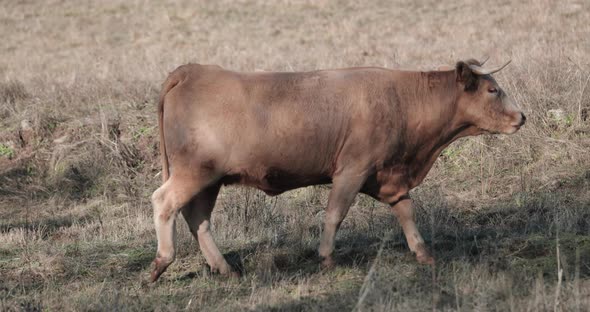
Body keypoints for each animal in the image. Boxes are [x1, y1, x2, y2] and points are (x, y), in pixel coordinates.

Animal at [149, 58, 528, 280]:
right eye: (493, 90)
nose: (521, 117)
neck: (403, 101)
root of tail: (193, 70)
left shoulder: (388, 176)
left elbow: (406, 210)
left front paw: (423, 253)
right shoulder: (352, 169)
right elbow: (335, 213)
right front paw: (327, 257)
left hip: (209, 178)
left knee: (198, 218)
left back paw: (223, 267)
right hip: (194, 171)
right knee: (164, 202)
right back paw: (161, 262)